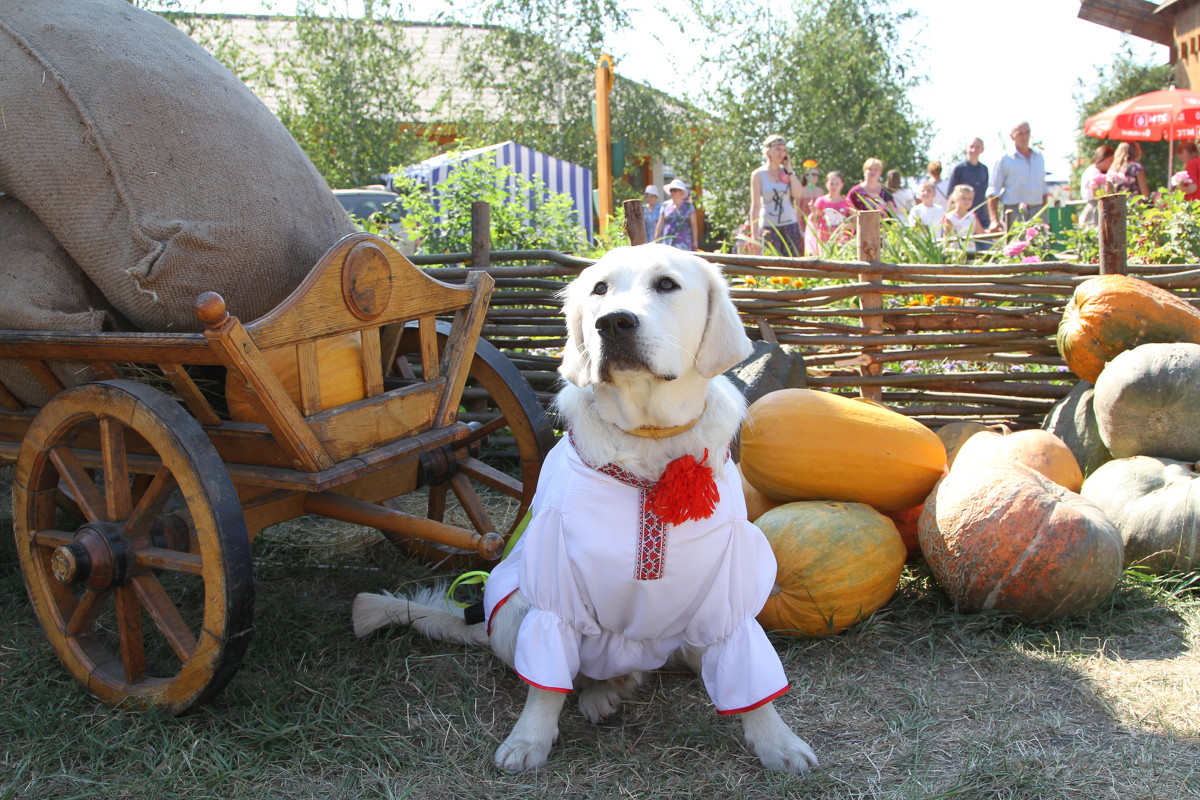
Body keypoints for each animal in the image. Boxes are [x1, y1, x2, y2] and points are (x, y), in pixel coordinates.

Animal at [350, 244, 816, 777]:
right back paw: (602, 693)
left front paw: (777, 741)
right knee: (578, 673)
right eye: (599, 289)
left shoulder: (731, 587)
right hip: (511, 609)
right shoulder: (555, 584)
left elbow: (748, 672)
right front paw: (529, 739)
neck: (647, 438)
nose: (613, 323)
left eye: (667, 284)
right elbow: (546, 684)